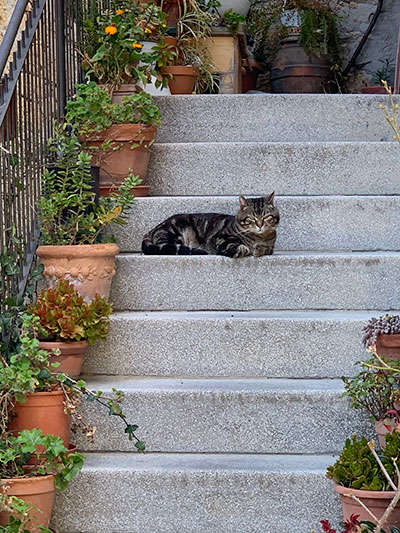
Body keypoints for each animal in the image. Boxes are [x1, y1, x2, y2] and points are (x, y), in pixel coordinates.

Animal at [142, 193, 280, 258]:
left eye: (266, 217)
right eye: (251, 218)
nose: (260, 225)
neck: (258, 238)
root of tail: (152, 230)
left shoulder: (271, 247)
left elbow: (267, 249)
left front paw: (259, 249)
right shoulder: (220, 239)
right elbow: (241, 248)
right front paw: (247, 249)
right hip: (174, 233)